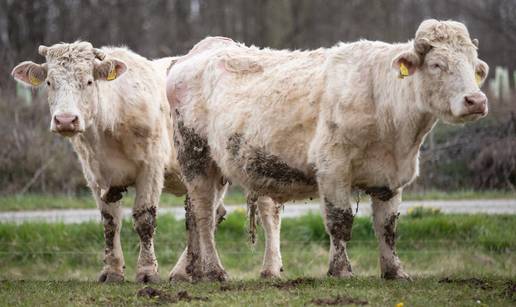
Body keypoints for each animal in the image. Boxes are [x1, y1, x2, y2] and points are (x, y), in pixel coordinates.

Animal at [167, 19, 490, 282]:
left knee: (199, 214)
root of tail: (201, 51)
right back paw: (213, 271)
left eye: (475, 66)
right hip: (195, 156)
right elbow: (340, 221)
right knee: (203, 214)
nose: (476, 100)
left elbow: (387, 227)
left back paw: (191, 272)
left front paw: (394, 271)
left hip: (217, 166)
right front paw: (341, 270)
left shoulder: (390, 178)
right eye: (436, 65)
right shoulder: (333, 167)